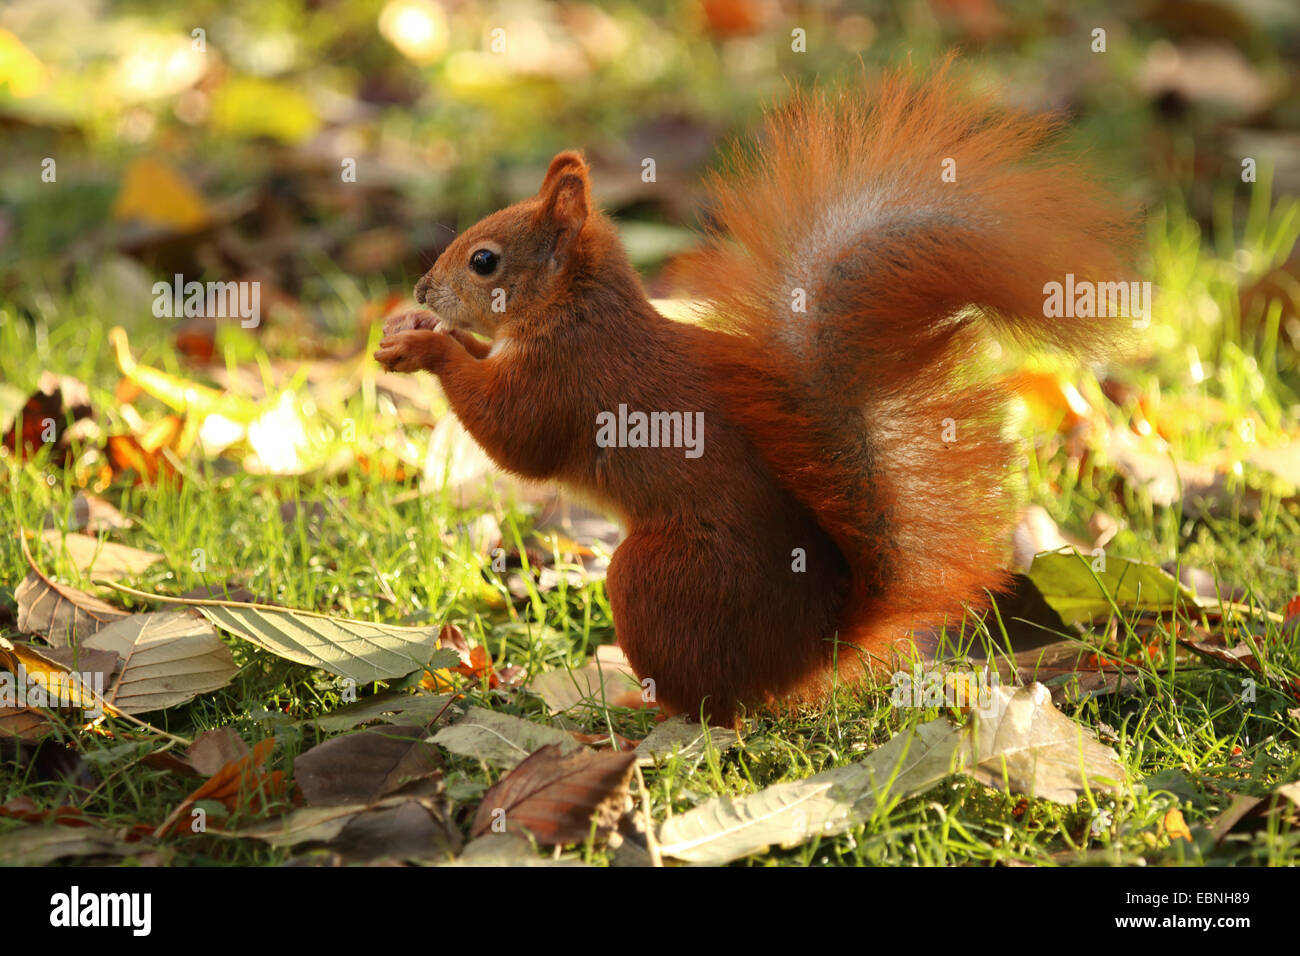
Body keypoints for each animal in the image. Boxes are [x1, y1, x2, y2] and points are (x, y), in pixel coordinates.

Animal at [375, 61, 1133, 725]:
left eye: (485, 261)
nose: (421, 290)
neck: (577, 309)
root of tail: (810, 653)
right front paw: (414, 330)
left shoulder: (567, 380)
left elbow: (514, 439)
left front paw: (426, 348)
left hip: (658, 578)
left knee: (713, 706)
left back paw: (637, 706)